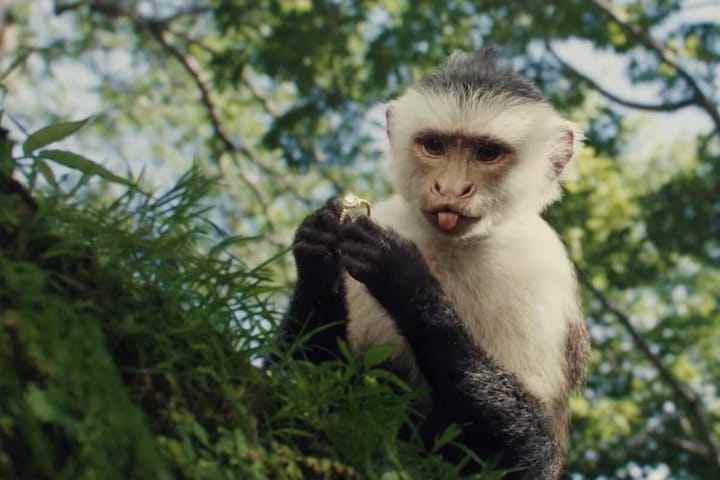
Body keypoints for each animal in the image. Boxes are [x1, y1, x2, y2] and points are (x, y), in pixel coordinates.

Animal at [278, 49, 590, 479]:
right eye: (435, 146)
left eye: (487, 153)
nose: (451, 189)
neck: (451, 248)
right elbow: (300, 384)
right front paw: (317, 250)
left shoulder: (539, 268)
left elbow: (531, 452)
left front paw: (406, 281)